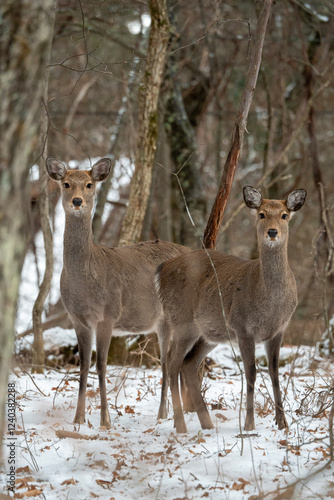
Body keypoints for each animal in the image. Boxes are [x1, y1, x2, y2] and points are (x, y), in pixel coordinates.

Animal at [46, 158, 190, 428]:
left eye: (89, 184)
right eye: (66, 183)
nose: (77, 201)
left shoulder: (108, 315)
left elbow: (102, 365)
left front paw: (105, 420)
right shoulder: (77, 319)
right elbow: (83, 366)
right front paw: (78, 419)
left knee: (174, 361)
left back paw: (172, 414)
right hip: (162, 323)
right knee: (168, 362)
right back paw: (171, 412)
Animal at [155, 186, 306, 432]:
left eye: (284, 215)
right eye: (261, 214)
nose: (272, 232)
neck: (270, 302)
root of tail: (161, 271)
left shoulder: (278, 330)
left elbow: (275, 373)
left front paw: (283, 423)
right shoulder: (243, 326)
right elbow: (251, 372)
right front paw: (249, 424)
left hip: (210, 332)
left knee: (188, 364)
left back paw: (206, 423)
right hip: (182, 320)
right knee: (172, 361)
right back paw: (180, 424)